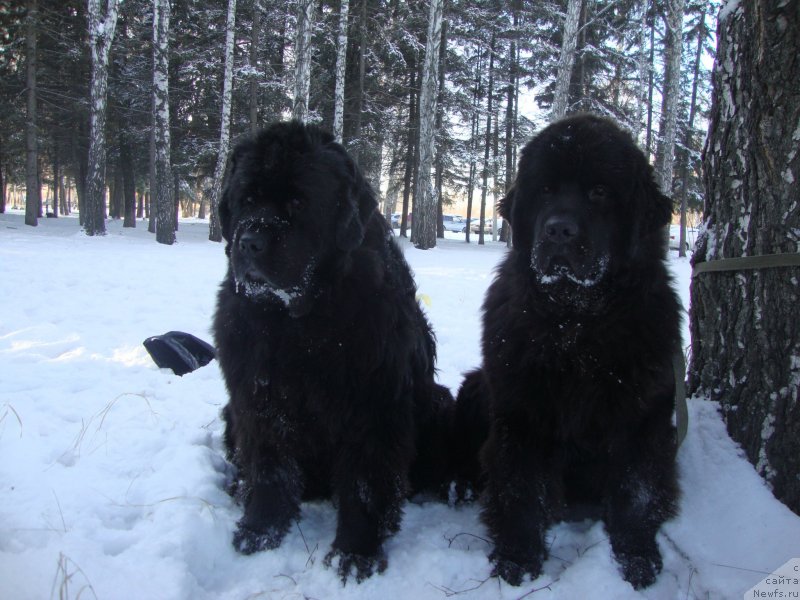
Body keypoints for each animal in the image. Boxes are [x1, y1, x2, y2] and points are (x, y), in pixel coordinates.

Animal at [216, 119, 454, 584]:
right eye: (246, 200)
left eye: (297, 202)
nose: (250, 241)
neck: (299, 323)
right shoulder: (257, 398)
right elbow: (269, 469)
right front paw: (260, 530)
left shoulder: (372, 409)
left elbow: (364, 483)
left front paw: (354, 552)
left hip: (436, 402)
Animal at [456, 115, 680, 588]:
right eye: (545, 190)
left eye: (599, 191)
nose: (558, 229)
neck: (576, 325)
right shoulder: (521, 414)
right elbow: (520, 487)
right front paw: (518, 558)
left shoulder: (643, 419)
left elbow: (637, 490)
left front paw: (637, 557)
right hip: (475, 388)